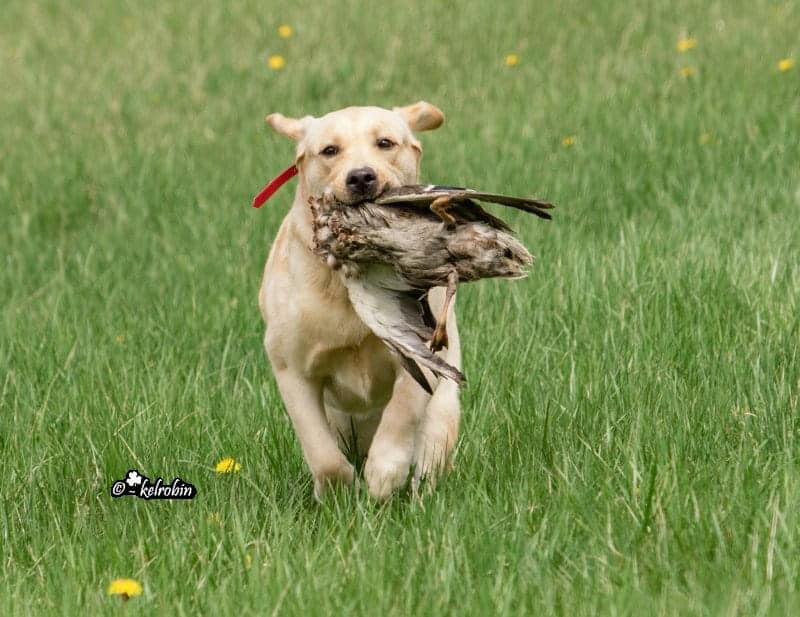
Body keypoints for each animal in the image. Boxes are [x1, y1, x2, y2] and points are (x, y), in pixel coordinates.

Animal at [256, 100, 456, 496]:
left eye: (385, 143)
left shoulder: (419, 356)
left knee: (429, 461)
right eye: (329, 150)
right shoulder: (290, 368)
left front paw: (383, 474)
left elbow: (402, 411)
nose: (362, 177)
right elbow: (322, 455)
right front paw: (339, 491)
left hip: (444, 412)